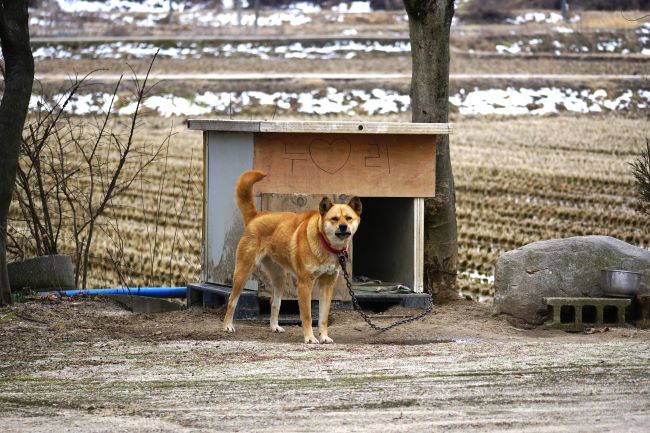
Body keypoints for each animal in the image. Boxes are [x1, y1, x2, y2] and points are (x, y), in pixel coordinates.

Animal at [224, 170, 362, 342]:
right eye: (334, 219)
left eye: (349, 218)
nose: (343, 227)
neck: (325, 245)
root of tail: (256, 216)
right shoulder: (304, 284)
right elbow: (307, 316)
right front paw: (310, 338)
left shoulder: (327, 285)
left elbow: (323, 317)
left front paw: (323, 337)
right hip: (243, 272)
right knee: (232, 300)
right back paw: (227, 325)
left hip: (279, 277)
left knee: (274, 303)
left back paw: (274, 327)